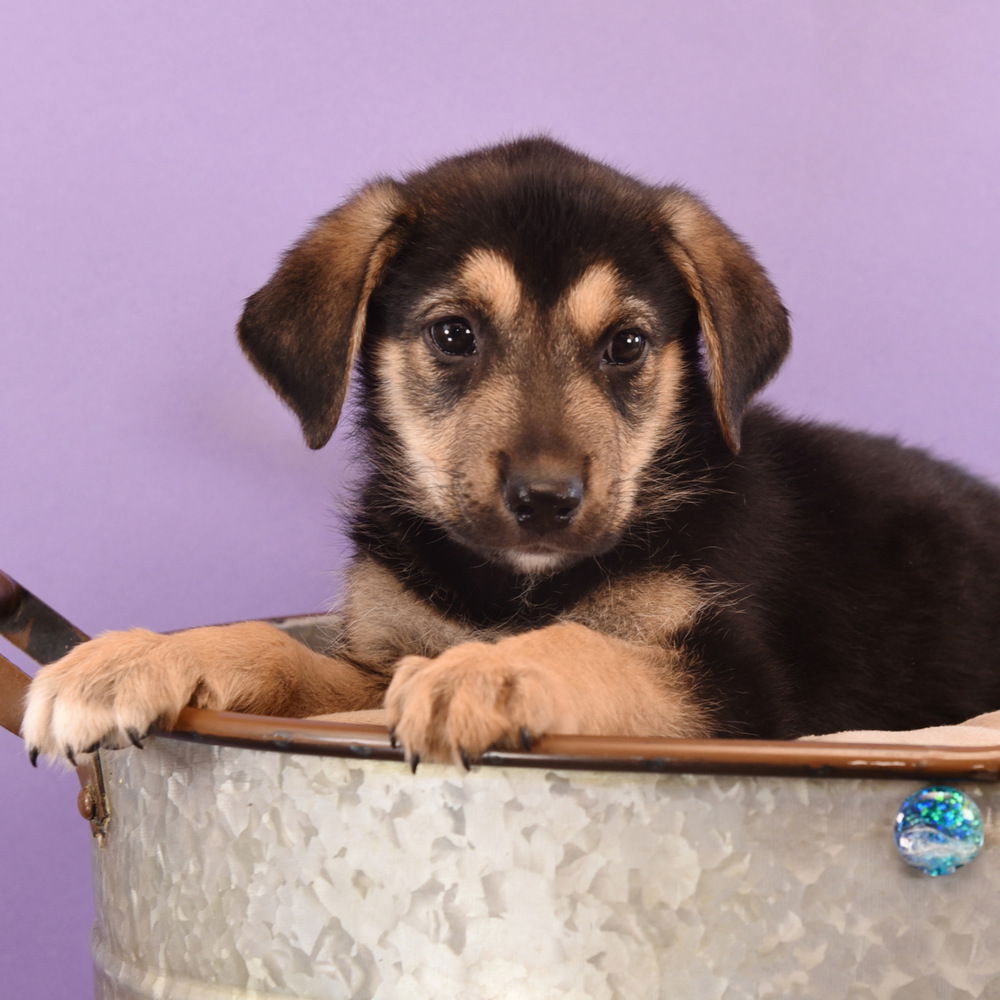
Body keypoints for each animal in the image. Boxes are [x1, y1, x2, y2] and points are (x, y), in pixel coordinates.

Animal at [19, 139, 1000, 764]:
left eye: (627, 346)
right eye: (455, 335)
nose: (545, 499)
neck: (510, 581)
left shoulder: (742, 684)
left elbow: (592, 647)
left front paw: (491, 670)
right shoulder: (376, 662)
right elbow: (274, 648)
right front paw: (132, 660)